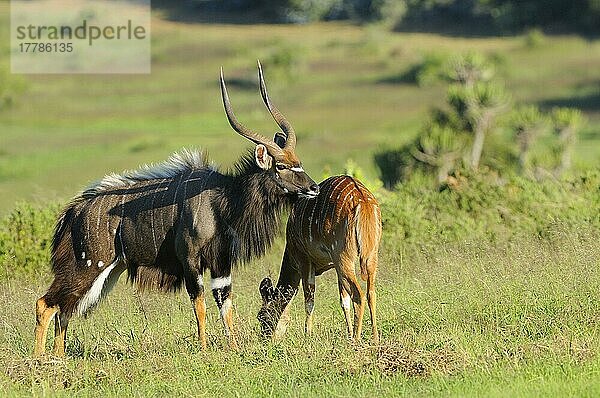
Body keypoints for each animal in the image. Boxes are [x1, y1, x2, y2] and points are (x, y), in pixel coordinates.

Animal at [35, 63, 322, 358]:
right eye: (281, 166)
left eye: (298, 162)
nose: (314, 188)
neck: (221, 201)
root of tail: (73, 213)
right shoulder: (191, 261)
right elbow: (200, 304)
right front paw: (204, 348)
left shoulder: (221, 263)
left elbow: (225, 303)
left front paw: (233, 346)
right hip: (89, 265)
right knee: (46, 304)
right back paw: (40, 359)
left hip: (107, 271)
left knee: (65, 310)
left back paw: (58, 357)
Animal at [256, 176, 380, 344]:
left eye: (261, 316)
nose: (265, 340)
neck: (290, 251)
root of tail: (363, 204)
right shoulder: (334, 265)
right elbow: (343, 300)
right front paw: (348, 334)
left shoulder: (304, 259)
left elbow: (309, 299)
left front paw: (307, 334)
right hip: (369, 255)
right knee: (370, 293)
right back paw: (375, 339)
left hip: (343, 255)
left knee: (358, 294)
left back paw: (357, 339)